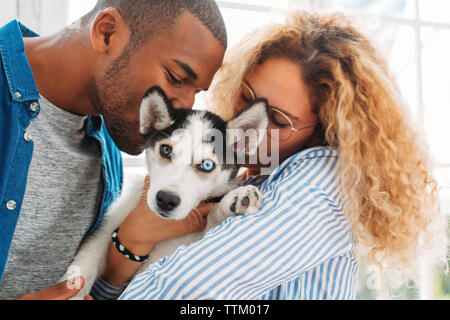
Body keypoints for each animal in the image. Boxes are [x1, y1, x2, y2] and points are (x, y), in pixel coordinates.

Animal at [64, 86, 268, 298]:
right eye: (166, 150)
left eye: (207, 165)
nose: (166, 200)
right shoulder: (107, 225)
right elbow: (88, 256)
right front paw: (74, 289)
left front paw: (234, 201)